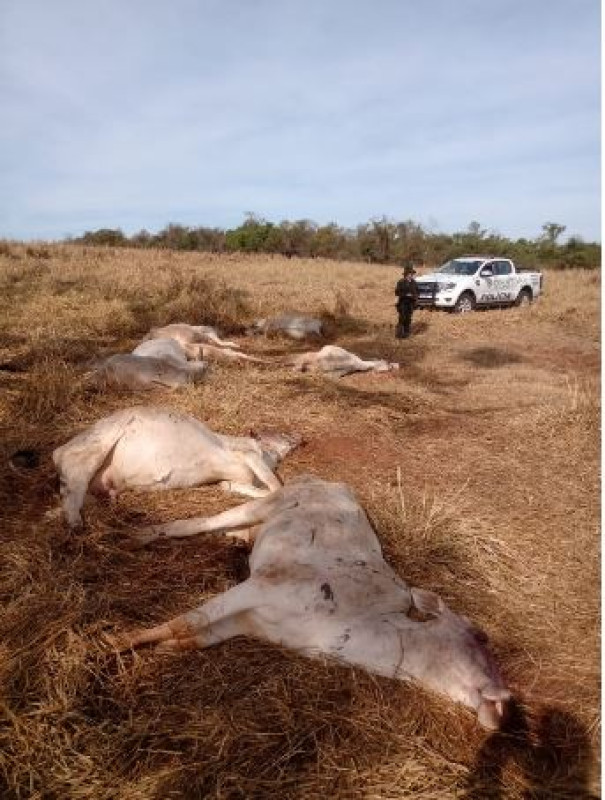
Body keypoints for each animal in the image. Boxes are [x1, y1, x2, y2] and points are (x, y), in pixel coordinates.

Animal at [53, 406, 300, 532]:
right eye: (280, 432)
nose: (299, 437)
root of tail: (59, 450)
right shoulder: (247, 454)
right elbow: (275, 484)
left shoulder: (238, 476)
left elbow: (235, 486)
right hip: (96, 444)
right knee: (73, 481)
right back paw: (75, 524)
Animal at [122, 476, 510, 732]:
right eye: (480, 636)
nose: (506, 708)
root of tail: (328, 481)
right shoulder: (263, 585)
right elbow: (185, 620)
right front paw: (116, 645)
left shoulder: (252, 624)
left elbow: (194, 635)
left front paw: (161, 652)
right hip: (268, 504)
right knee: (200, 522)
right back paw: (139, 535)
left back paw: (233, 532)